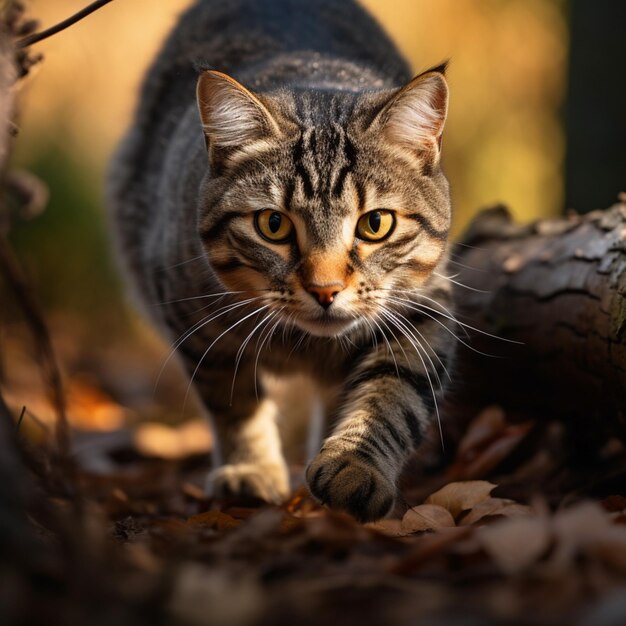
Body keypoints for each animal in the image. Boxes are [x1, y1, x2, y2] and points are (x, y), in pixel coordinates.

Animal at [108, 0, 454, 520]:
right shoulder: (194, 322)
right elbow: (233, 402)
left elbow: (392, 395)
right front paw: (250, 470)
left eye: (375, 224)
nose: (325, 289)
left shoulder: (423, 311)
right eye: (273, 225)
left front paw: (355, 465)